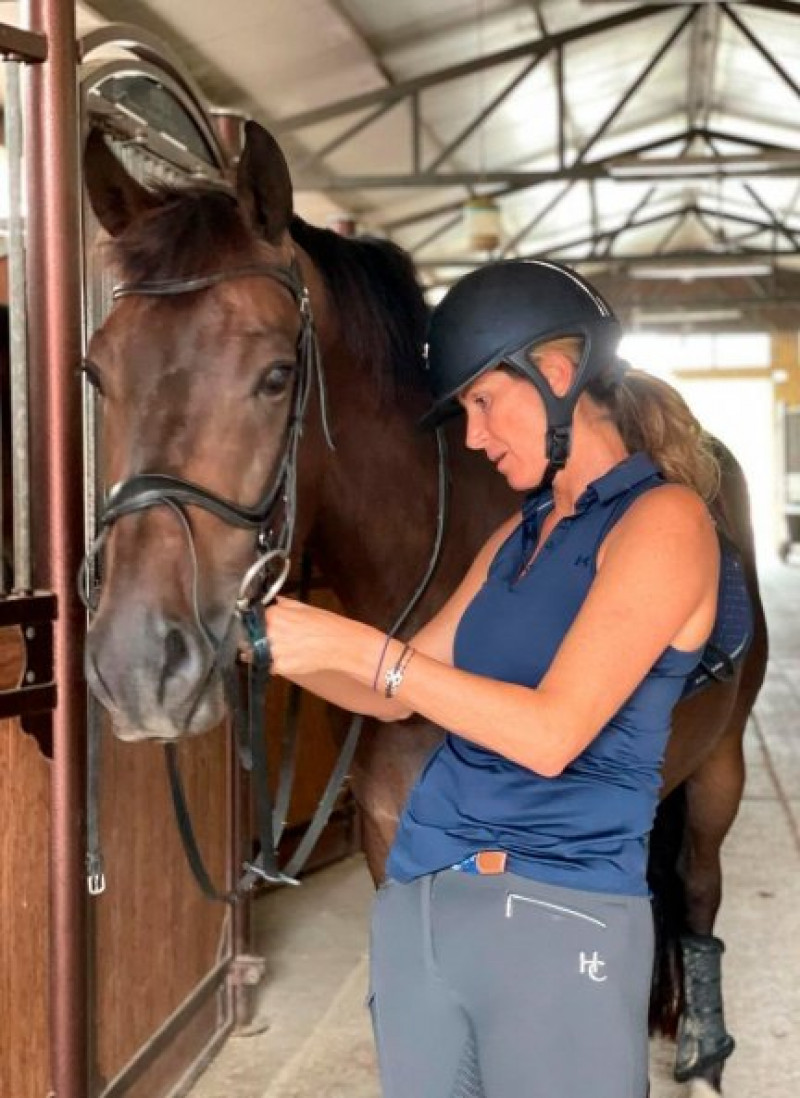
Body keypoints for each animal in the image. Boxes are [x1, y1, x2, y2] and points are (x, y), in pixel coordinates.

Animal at [81, 122, 768, 1098]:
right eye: (95, 372)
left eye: (276, 374)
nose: (139, 668)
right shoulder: (393, 861)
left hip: (719, 771)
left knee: (699, 886)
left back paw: (704, 1052)